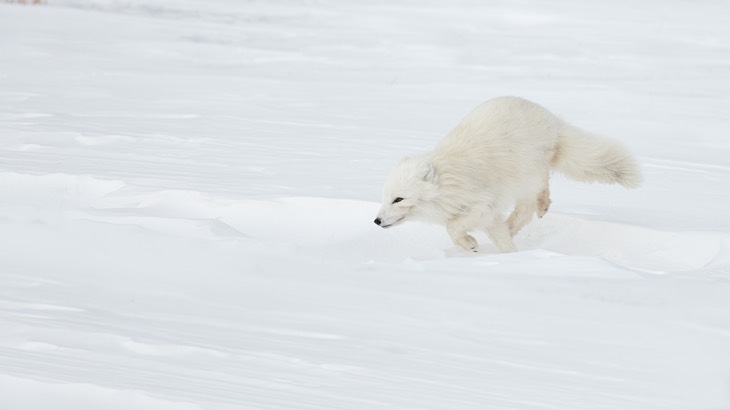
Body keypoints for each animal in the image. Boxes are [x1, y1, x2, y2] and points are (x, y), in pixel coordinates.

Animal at [372, 96, 640, 253]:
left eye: (399, 199)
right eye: (384, 198)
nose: (376, 221)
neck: (449, 183)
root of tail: (553, 121)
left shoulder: (482, 204)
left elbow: (453, 226)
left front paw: (472, 245)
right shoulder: (487, 214)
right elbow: (496, 236)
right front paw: (508, 255)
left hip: (526, 172)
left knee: (530, 202)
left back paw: (531, 212)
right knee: (535, 197)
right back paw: (528, 215)